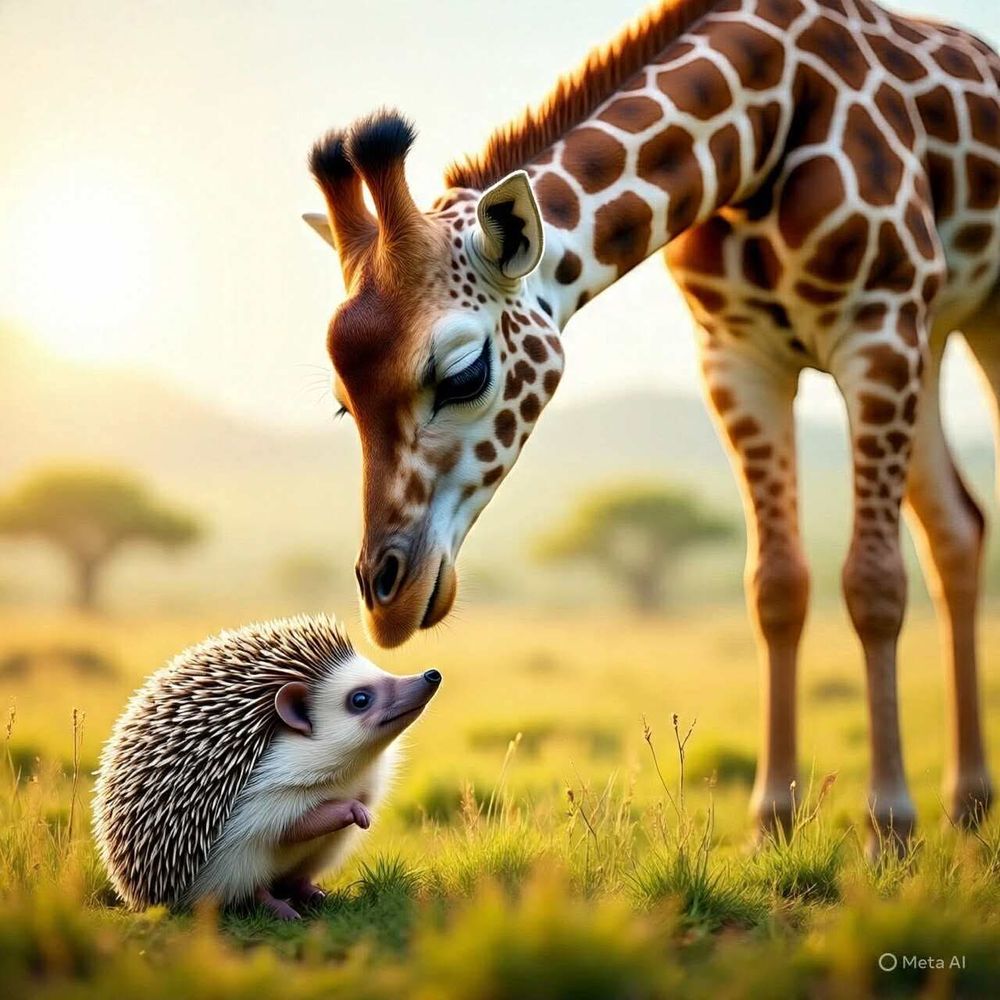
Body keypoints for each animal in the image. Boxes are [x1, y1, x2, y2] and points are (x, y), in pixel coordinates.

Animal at [303, 0, 1000, 845]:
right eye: (344, 402)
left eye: (465, 373)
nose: (386, 603)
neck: (760, 122)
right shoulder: (738, 352)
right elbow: (776, 584)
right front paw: (772, 822)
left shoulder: (878, 324)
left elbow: (873, 582)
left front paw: (889, 829)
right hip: (934, 333)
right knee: (957, 527)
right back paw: (969, 803)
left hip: (970, 318)